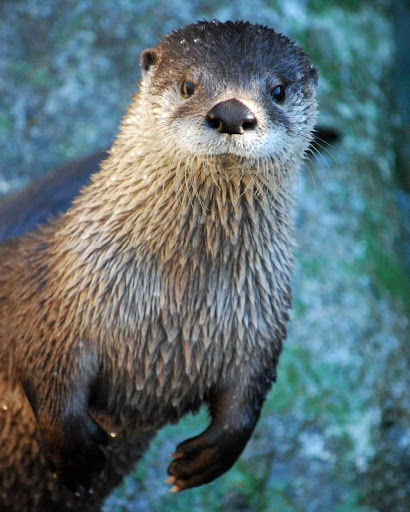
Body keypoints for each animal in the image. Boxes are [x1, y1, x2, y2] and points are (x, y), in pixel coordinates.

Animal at [0, 20, 318, 512]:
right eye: (189, 86)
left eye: (278, 91)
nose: (232, 114)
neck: (175, 297)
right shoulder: (54, 303)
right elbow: (46, 369)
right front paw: (75, 455)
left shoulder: (258, 320)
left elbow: (249, 393)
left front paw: (206, 457)